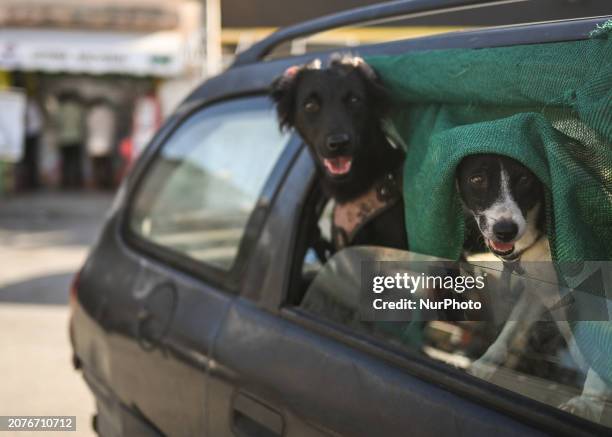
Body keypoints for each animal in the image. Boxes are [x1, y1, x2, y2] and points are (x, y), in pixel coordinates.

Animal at [456, 154, 608, 422]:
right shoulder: (535, 292)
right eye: (477, 179)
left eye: (525, 178)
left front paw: (587, 404)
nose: (505, 231)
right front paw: (482, 365)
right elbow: (510, 329)